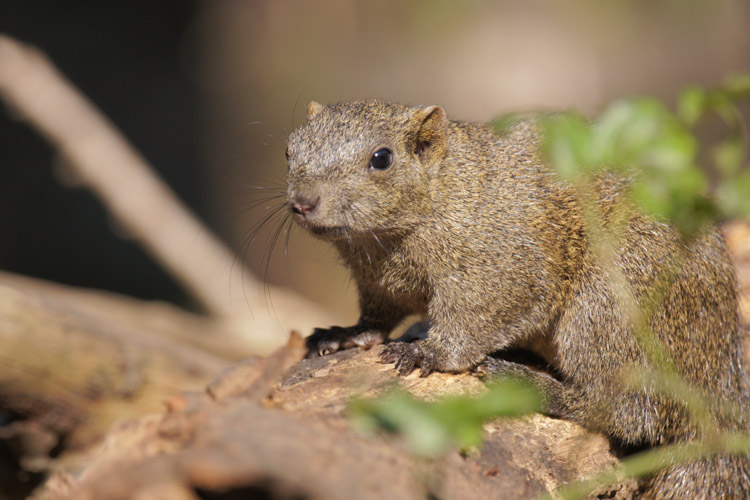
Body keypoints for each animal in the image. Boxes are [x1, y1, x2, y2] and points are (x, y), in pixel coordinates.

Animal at [286, 99, 750, 498]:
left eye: (382, 158)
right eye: (290, 149)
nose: (302, 203)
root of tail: (719, 369)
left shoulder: (506, 269)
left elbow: (479, 319)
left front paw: (430, 353)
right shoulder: (381, 283)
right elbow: (377, 318)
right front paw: (346, 333)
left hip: (610, 309)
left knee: (623, 410)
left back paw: (533, 384)